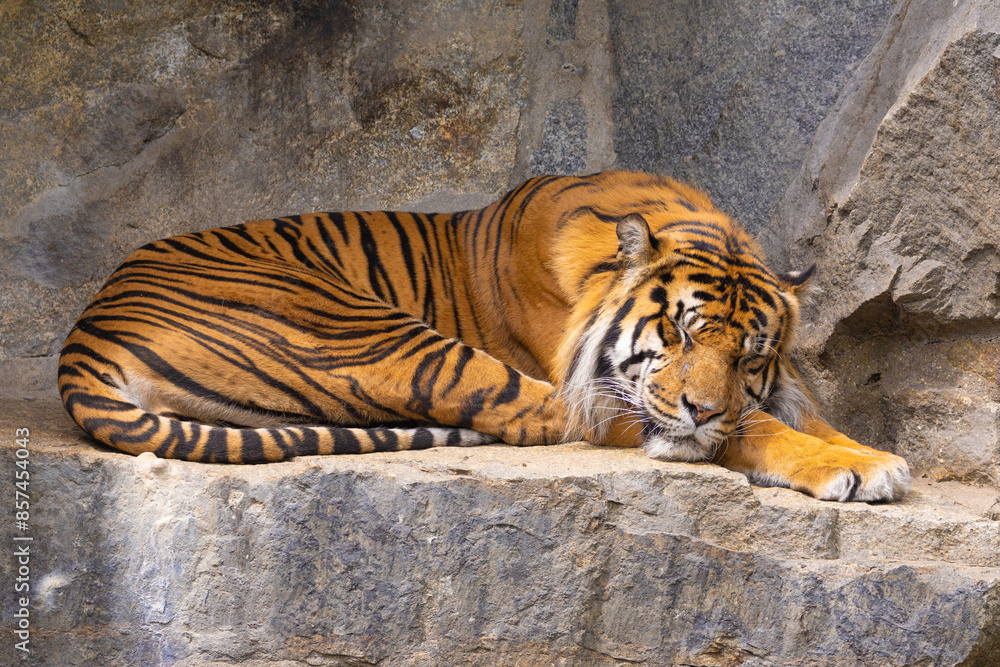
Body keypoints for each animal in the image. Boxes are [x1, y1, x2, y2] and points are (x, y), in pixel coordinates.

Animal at [58, 170, 910, 502]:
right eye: (674, 329)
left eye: (750, 354)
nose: (702, 408)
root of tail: (86, 334)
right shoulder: (612, 392)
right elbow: (755, 426)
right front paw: (855, 467)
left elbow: (798, 412)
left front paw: (869, 453)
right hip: (373, 328)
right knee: (531, 415)